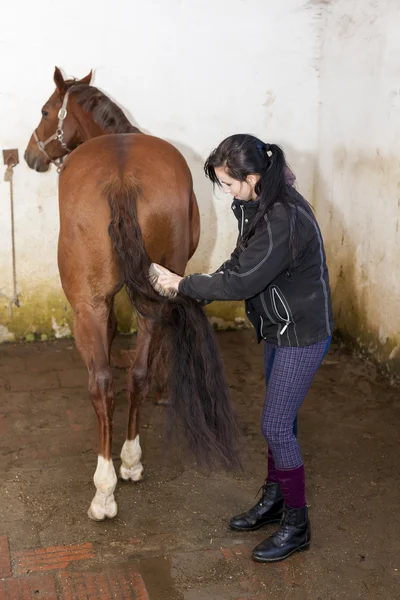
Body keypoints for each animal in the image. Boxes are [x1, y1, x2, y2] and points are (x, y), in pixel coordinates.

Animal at [24, 67, 241, 520]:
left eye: (46, 111)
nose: (31, 156)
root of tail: (121, 177)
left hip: (87, 304)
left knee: (103, 381)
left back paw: (106, 487)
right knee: (131, 375)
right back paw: (128, 462)